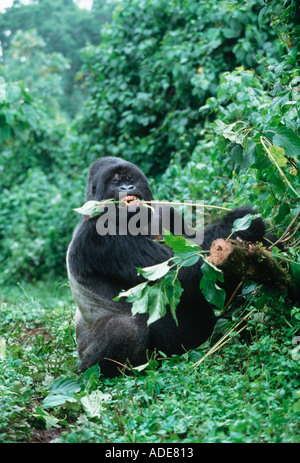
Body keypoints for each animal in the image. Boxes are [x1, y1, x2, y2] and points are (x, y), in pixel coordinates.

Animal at [67, 156, 268, 376]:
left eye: (130, 179)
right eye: (115, 182)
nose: (127, 187)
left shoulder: (169, 212)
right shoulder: (99, 234)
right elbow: (179, 272)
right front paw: (241, 221)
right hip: (86, 357)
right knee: (125, 328)